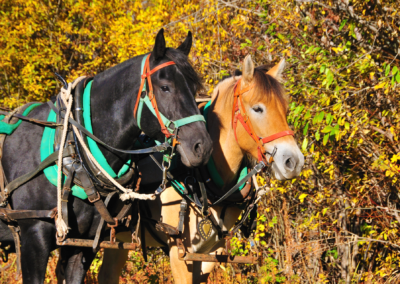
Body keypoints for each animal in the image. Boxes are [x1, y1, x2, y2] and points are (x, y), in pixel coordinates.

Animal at [0, 29, 212, 284]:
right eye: (165, 87)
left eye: (194, 88)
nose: (202, 146)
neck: (73, 151)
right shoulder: (33, 237)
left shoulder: (81, 245)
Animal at [98, 55, 304, 284]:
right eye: (258, 109)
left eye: (285, 110)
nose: (294, 162)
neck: (206, 180)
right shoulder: (179, 253)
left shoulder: (210, 253)